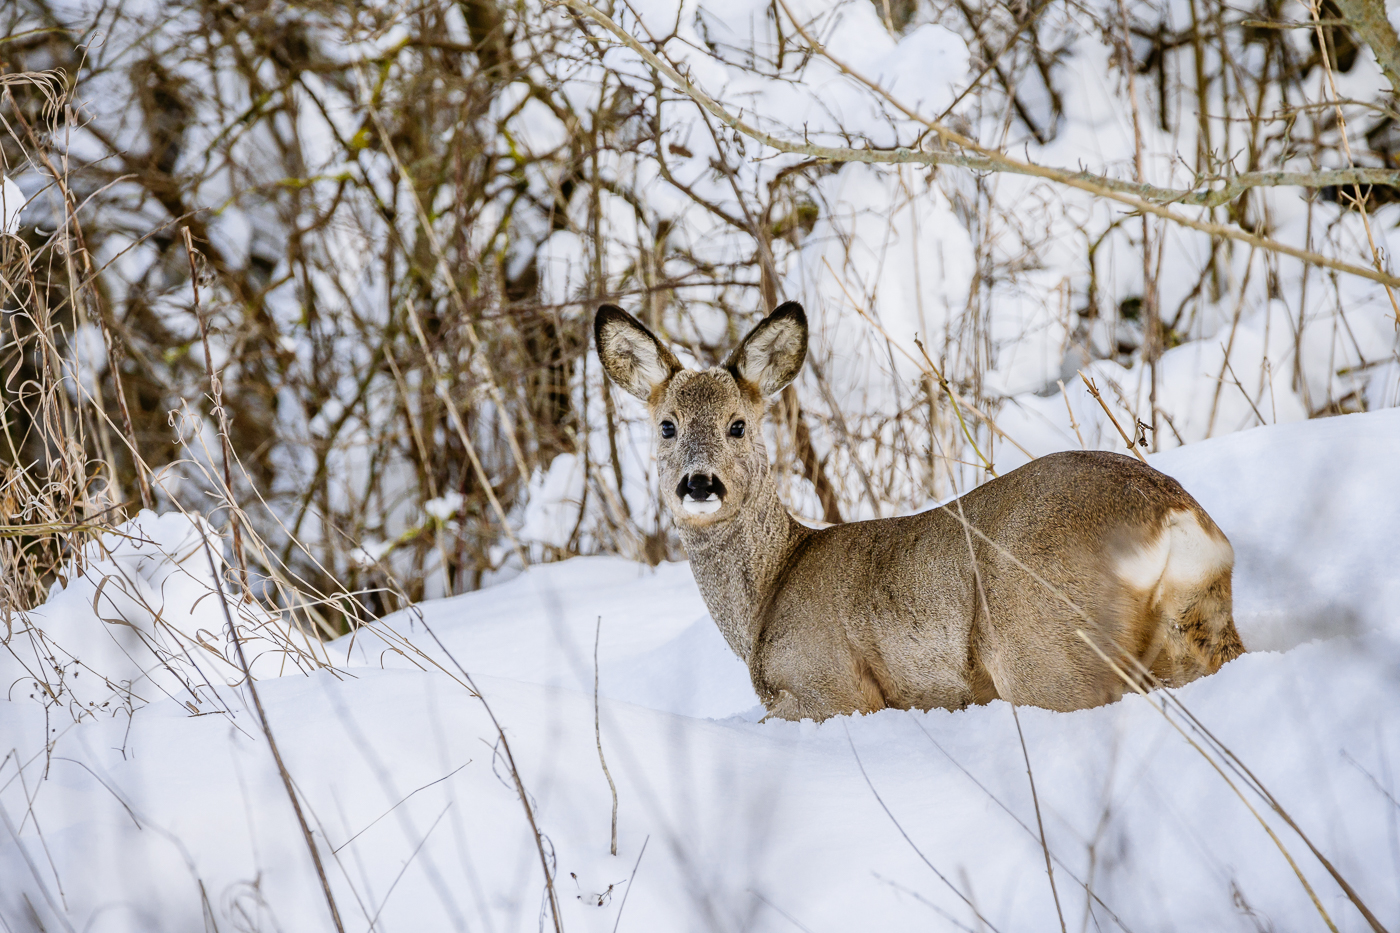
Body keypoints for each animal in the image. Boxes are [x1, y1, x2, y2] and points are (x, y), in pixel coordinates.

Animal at [595, 301, 1245, 721]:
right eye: (666, 426)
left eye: (737, 424)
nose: (699, 484)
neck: (768, 596)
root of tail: (1174, 519)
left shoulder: (831, 689)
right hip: (1199, 625)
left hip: (1050, 650)